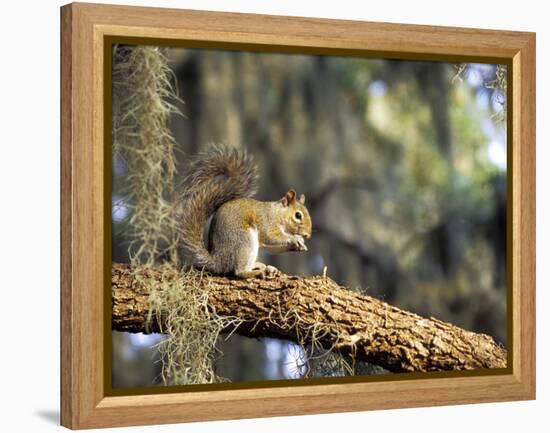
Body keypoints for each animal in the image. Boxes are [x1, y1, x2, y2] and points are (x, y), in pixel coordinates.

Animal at [178, 145, 312, 278]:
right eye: (298, 215)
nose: (308, 235)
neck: (278, 213)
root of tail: (218, 260)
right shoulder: (267, 222)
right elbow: (272, 237)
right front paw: (296, 239)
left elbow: (273, 247)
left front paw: (301, 245)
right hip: (244, 240)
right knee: (239, 271)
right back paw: (257, 272)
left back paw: (262, 266)